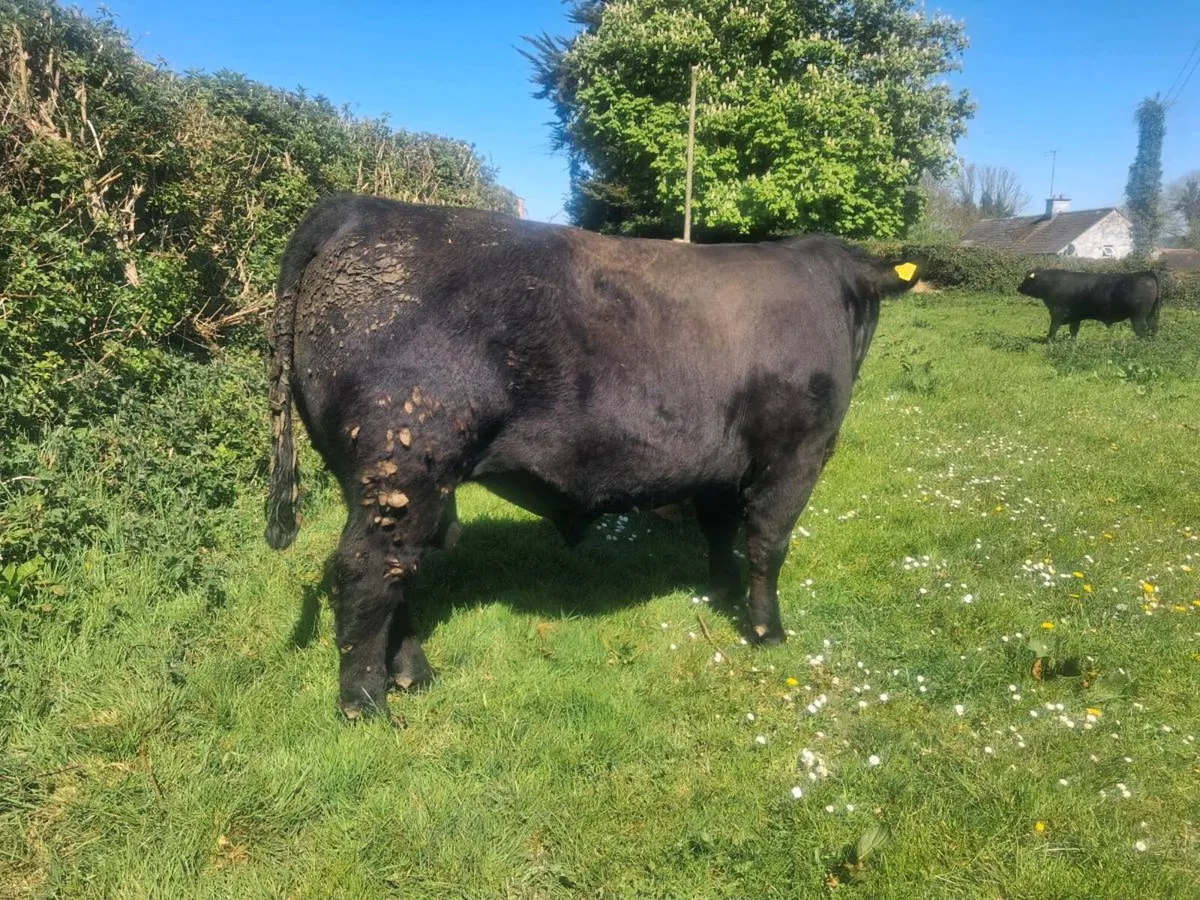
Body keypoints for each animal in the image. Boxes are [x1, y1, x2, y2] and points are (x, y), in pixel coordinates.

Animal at [265, 194, 920, 720]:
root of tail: (359, 206)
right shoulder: (797, 452)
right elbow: (768, 542)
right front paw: (768, 631)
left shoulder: (721, 464)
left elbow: (720, 529)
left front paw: (722, 591)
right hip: (404, 463)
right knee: (366, 568)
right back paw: (366, 700)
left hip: (392, 482)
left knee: (400, 567)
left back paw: (414, 675)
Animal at [1016, 269, 1162, 340]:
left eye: (1026, 279)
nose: (1019, 287)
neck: (1053, 282)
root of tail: (1146, 273)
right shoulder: (1075, 317)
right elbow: (1073, 331)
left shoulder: (1057, 313)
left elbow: (1053, 329)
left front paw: (1049, 341)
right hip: (1151, 316)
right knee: (1153, 329)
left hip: (1138, 317)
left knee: (1142, 331)